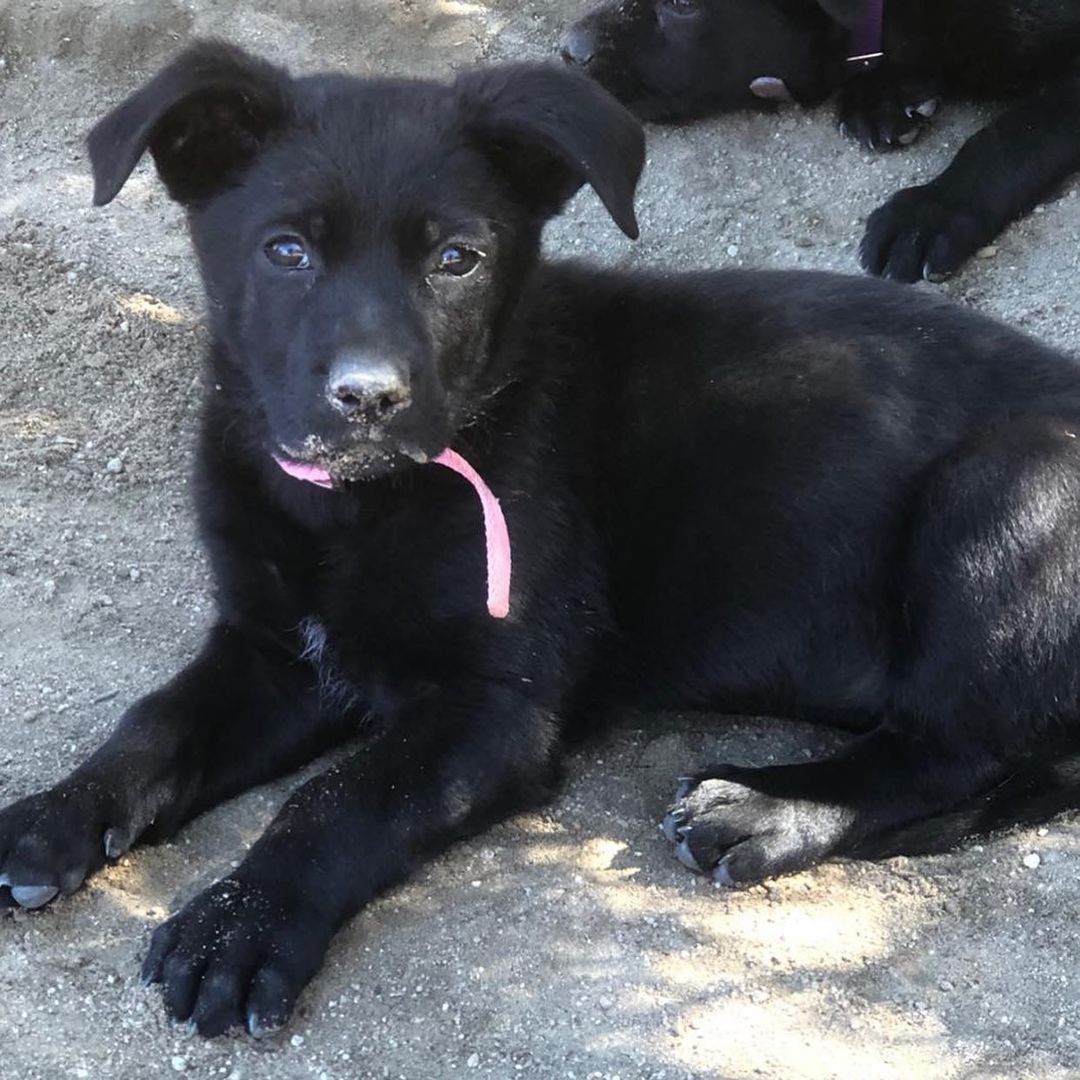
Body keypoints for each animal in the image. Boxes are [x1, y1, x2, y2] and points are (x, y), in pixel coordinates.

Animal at [6, 42, 1080, 1036]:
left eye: (456, 260)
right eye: (285, 252)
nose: (369, 400)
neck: (355, 506)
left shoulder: (496, 705)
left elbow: (337, 799)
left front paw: (243, 921)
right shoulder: (277, 653)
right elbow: (157, 723)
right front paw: (54, 819)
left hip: (1010, 485)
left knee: (956, 754)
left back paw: (764, 810)